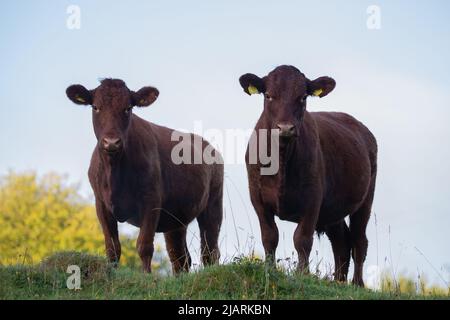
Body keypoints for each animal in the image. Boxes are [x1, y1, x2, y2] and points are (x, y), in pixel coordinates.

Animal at [65, 79, 223, 274]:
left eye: (128, 108)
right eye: (95, 107)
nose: (111, 142)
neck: (115, 172)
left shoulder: (151, 200)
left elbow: (144, 246)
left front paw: (147, 275)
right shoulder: (101, 203)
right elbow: (112, 247)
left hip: (213, 205)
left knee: (209, 251)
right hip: (176, 220)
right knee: (180, 258)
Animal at [241, 66, 378, 286]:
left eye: (303, 97)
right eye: (268, 95)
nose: (285, 128)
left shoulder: (313, 199)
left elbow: (302, 239)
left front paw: (302, 274)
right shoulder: (258, 198)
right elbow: (270, 236)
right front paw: (270, 271)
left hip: (365, 200)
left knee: (359, 241)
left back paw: (357, 284)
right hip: (333, 211)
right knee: (341, 243)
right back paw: (338, 282)